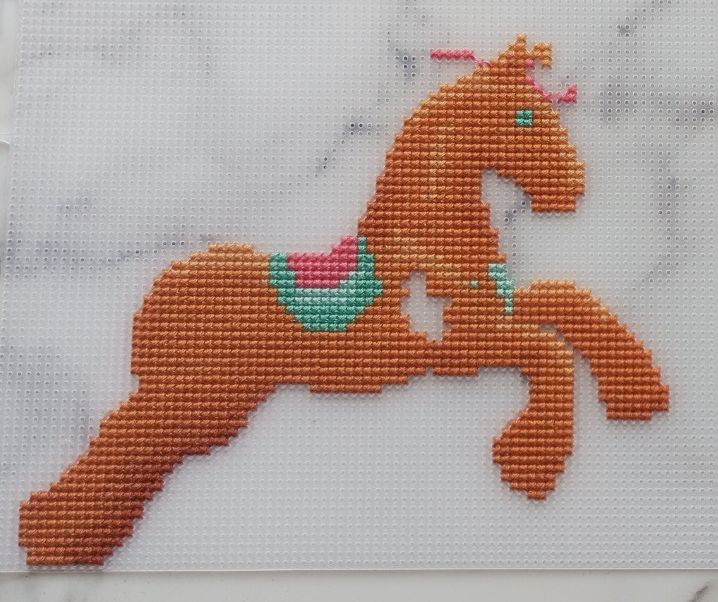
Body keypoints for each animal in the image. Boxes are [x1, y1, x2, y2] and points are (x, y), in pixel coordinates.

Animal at [19, 35, 669, 565]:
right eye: (526, 117)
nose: (572, 190)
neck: (428, 241)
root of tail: (160, 295)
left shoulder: (497, 310)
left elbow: (567, 304)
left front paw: (635, 388)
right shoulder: (463, 346)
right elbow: (548, 354)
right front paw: (530, 461)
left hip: (214, 404)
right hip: (194, 399)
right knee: (120, 445)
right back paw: (57, 538)